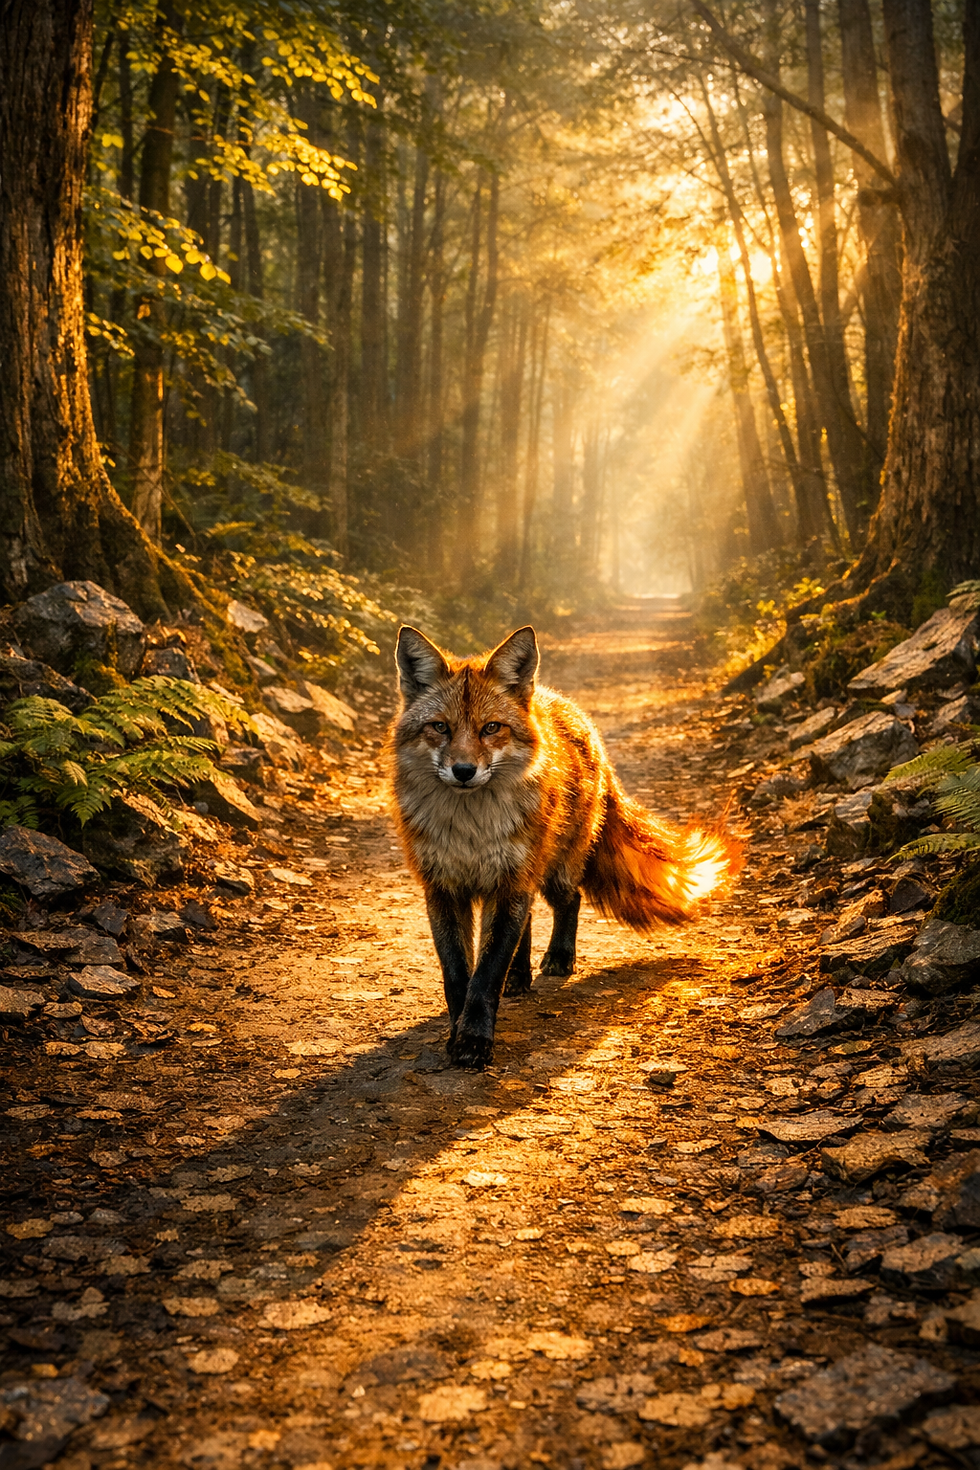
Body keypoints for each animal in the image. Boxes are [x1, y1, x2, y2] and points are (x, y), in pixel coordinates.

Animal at [388, 624, 739, 1070]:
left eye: (491, 728)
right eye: (440, 727)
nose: (464, 771)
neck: (471, 831)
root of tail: (566, 706)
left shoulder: (510, 883)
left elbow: (485, 975)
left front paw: (474, 1040)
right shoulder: (443, 889)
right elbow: (458, 977)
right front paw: (458, 1032)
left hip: (553, 870)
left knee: (568, 900)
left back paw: (559, 957)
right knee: (528, 922)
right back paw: (519, 977)